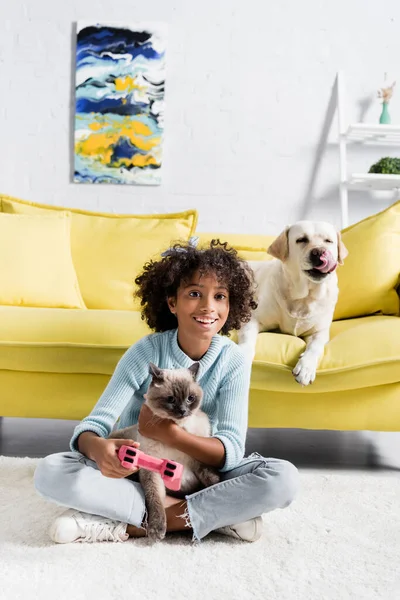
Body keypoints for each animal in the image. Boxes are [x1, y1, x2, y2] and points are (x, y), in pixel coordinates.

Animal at [111, 364, 220, 540]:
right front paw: (156, 530)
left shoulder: (199, 460)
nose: (182, 411)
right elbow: (155, 500)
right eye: (171, 399)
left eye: (190, 398)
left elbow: (213, 482)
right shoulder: (152, 471)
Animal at [239, 220, 348, 384]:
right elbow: (247, 338)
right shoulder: (253, 318)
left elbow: (316, 346)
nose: (319, 252)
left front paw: (306, 368)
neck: (303, 297)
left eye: (328, 241)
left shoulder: (320, 331)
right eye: (301, 240)